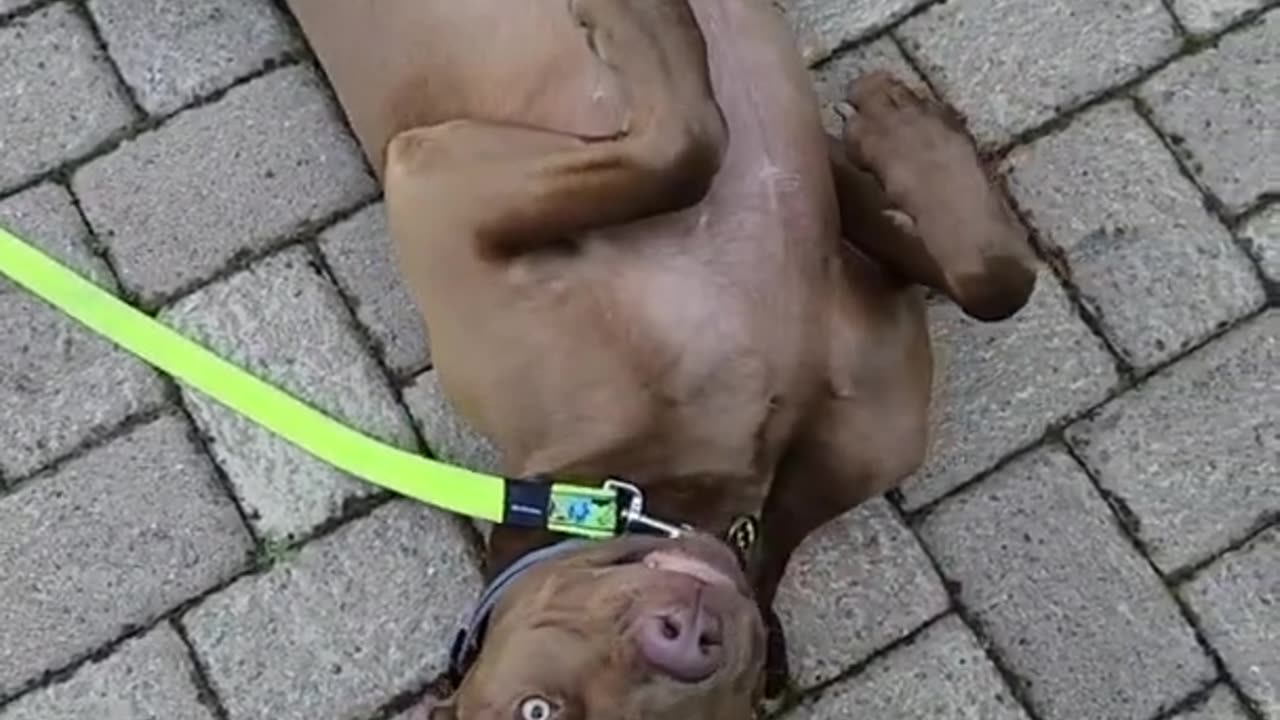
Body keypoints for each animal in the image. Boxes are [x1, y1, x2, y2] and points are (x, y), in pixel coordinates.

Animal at [285, 0, 1034, 712]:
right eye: (539, 709)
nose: (684, 642)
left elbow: (994, 283)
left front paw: (909, 144)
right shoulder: (434, 186)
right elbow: (687, 150)